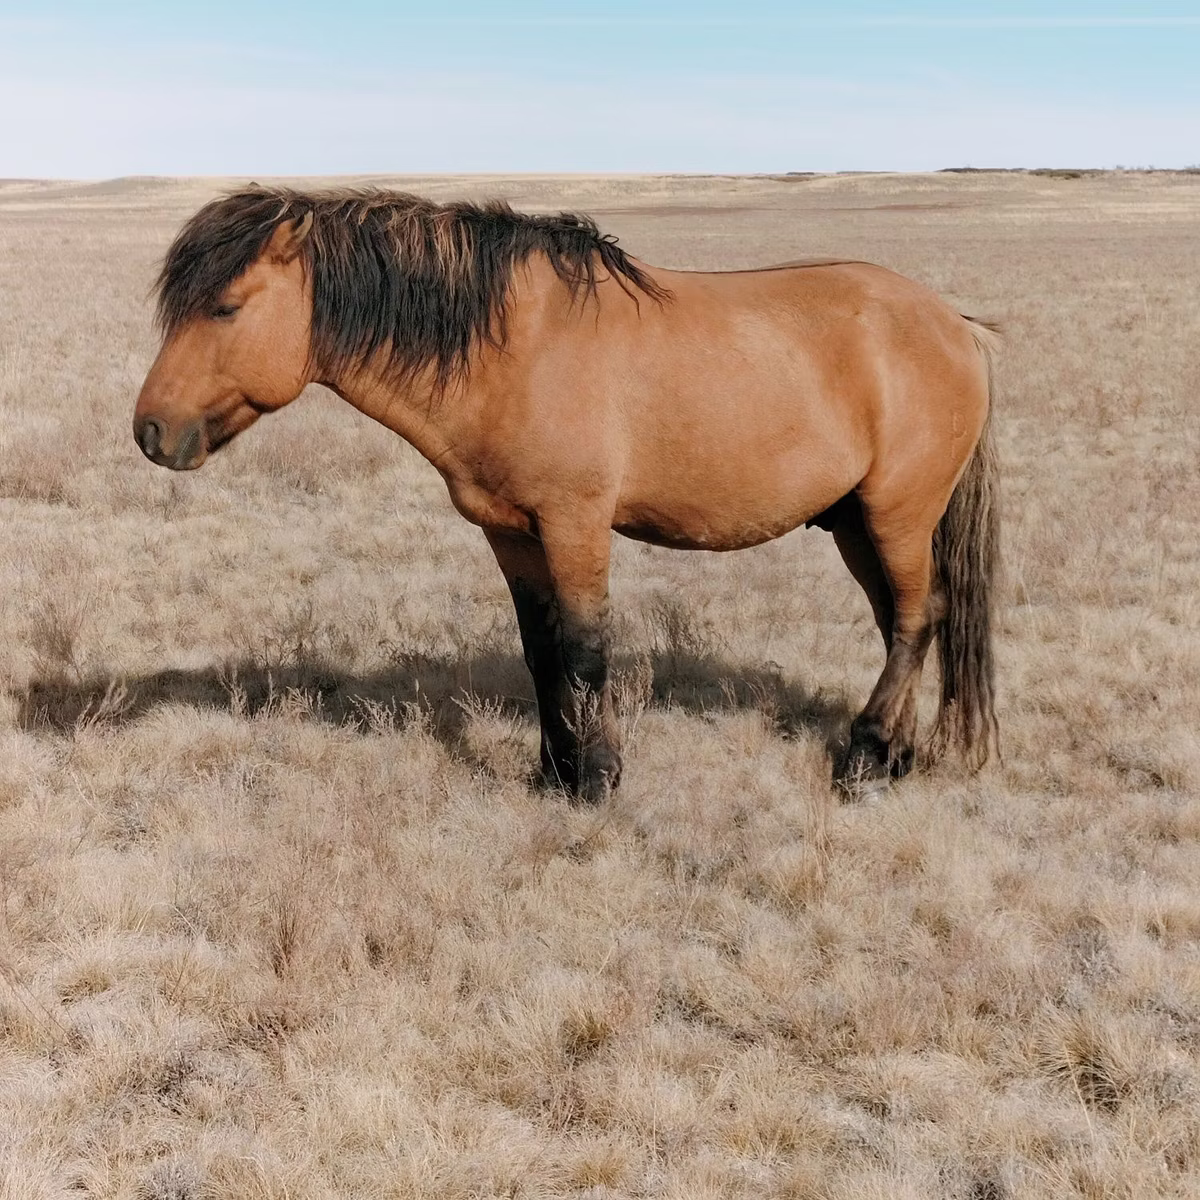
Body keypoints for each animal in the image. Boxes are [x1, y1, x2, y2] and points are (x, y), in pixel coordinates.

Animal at [134, 186, 999, 803]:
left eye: (225, 307)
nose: (150, 431)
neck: (513, 347)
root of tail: (954, 323)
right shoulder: (513, 532)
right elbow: (542, 649)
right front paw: (551, 771)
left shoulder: (575, 525)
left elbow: (585, 651)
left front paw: (597, 779)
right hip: (855, 524)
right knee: (903, 622)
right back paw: (896, 756)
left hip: (896, 516)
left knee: (916, 620)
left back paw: (864, 760)